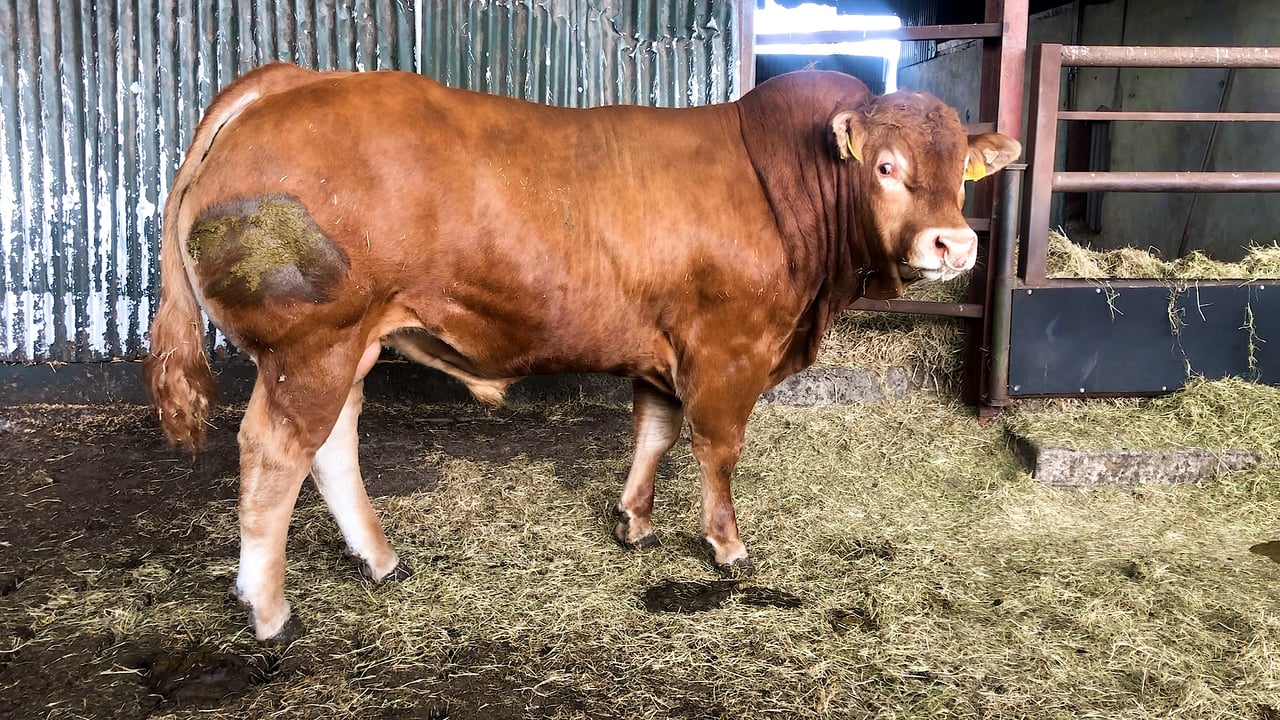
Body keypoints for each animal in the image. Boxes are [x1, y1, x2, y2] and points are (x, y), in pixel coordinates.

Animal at [143, 62, 1020, 641]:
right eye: (887, 166)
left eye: (962, 175)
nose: (953, 244)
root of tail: (287, 79)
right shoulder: (728, 349)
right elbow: (717, 448)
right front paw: (727, 546)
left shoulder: (665, 348)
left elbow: (655, 432)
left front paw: (634, 521)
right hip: (311, 346)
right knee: (275, 453)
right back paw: (269, 610)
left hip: (351, 345)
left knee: (330, 448)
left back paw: (381, 559)